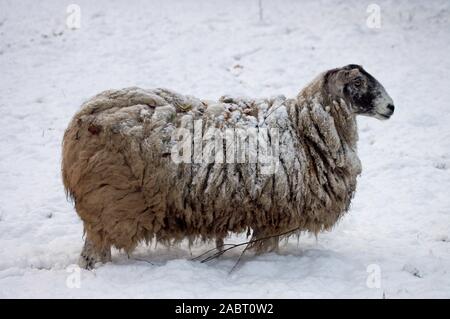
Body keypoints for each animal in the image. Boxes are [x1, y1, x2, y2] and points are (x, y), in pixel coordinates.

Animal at [62, 63, 394, 268]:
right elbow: (265, 248)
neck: (305, 127)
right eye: (358, 82)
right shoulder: (275, 215)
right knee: (92, 254)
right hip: (111, 204)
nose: (391, 107)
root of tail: (81, 118)